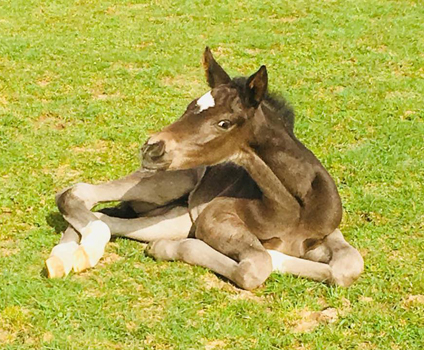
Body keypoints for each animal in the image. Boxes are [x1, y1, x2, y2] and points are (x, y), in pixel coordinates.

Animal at [47, 49, 364, 290]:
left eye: (224, 122)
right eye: (189, 107)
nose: (152, 148)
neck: (291, 207)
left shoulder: (328, 233)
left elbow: (349, 266)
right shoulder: (214, 216)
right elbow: (255, 264)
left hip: (172, 217)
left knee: (108, 219)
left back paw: (72, 256)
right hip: (168, 182)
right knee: (76, 194)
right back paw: (73, 254)